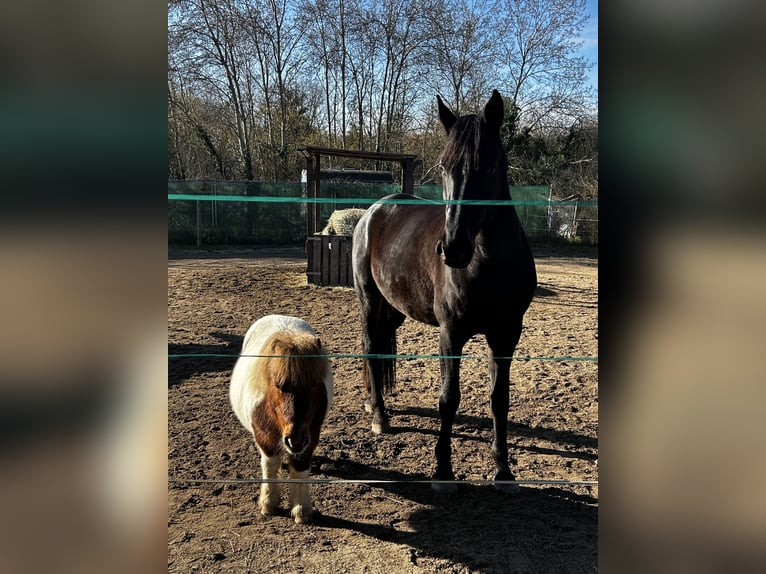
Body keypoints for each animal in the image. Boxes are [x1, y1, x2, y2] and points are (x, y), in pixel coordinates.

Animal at [229, 315, 333, 523]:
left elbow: (300, 469)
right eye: (278, 385)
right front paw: (269, 504)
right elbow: (269, 466)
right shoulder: (265, 438)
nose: (295, 440)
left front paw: (301, 509)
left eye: (314, 385)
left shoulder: (310, 437)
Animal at [352, 90, 537, 494]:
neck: (488, 263)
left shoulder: (506, 335)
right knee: (371, 348)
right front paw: (443, 472)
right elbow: (449, 399)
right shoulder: (451, 334)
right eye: (443, 166)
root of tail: (373, 211)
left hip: (394, 310)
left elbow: (500, 399)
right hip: (369, 301)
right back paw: (380, 417)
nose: (452, 249)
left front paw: (504, 471)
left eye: (488, 166)